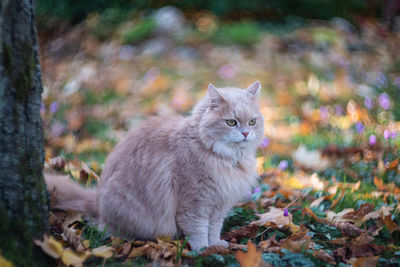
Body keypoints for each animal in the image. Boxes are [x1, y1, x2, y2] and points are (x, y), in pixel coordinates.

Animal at [45, 81, 264, 251]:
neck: (227, 159)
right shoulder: (194, 204)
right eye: (231, 122)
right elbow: (199, 230)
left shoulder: (218, 206)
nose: (246, 133)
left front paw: (216, 244)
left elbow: (214, 229)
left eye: (252, 122)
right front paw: (202, 250)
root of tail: (96, 200)